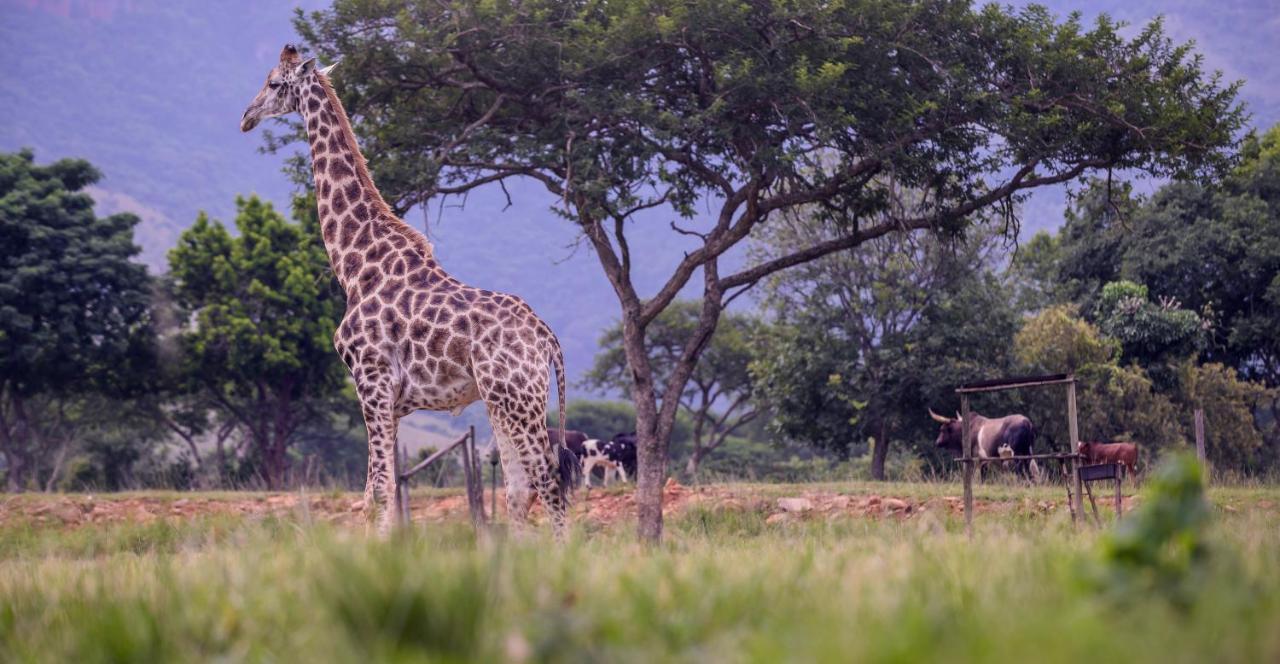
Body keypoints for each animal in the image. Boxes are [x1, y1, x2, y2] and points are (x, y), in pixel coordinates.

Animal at [240, 44, 581, 537]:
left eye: (272, 83)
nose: (246, 116)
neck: (357, 267)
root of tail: (547, 338)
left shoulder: (372, 382)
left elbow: (380, 491)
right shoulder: (392, 402)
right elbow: (379, 494)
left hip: (517, 397)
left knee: (549, 479)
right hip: (502, 401)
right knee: (520, 486)